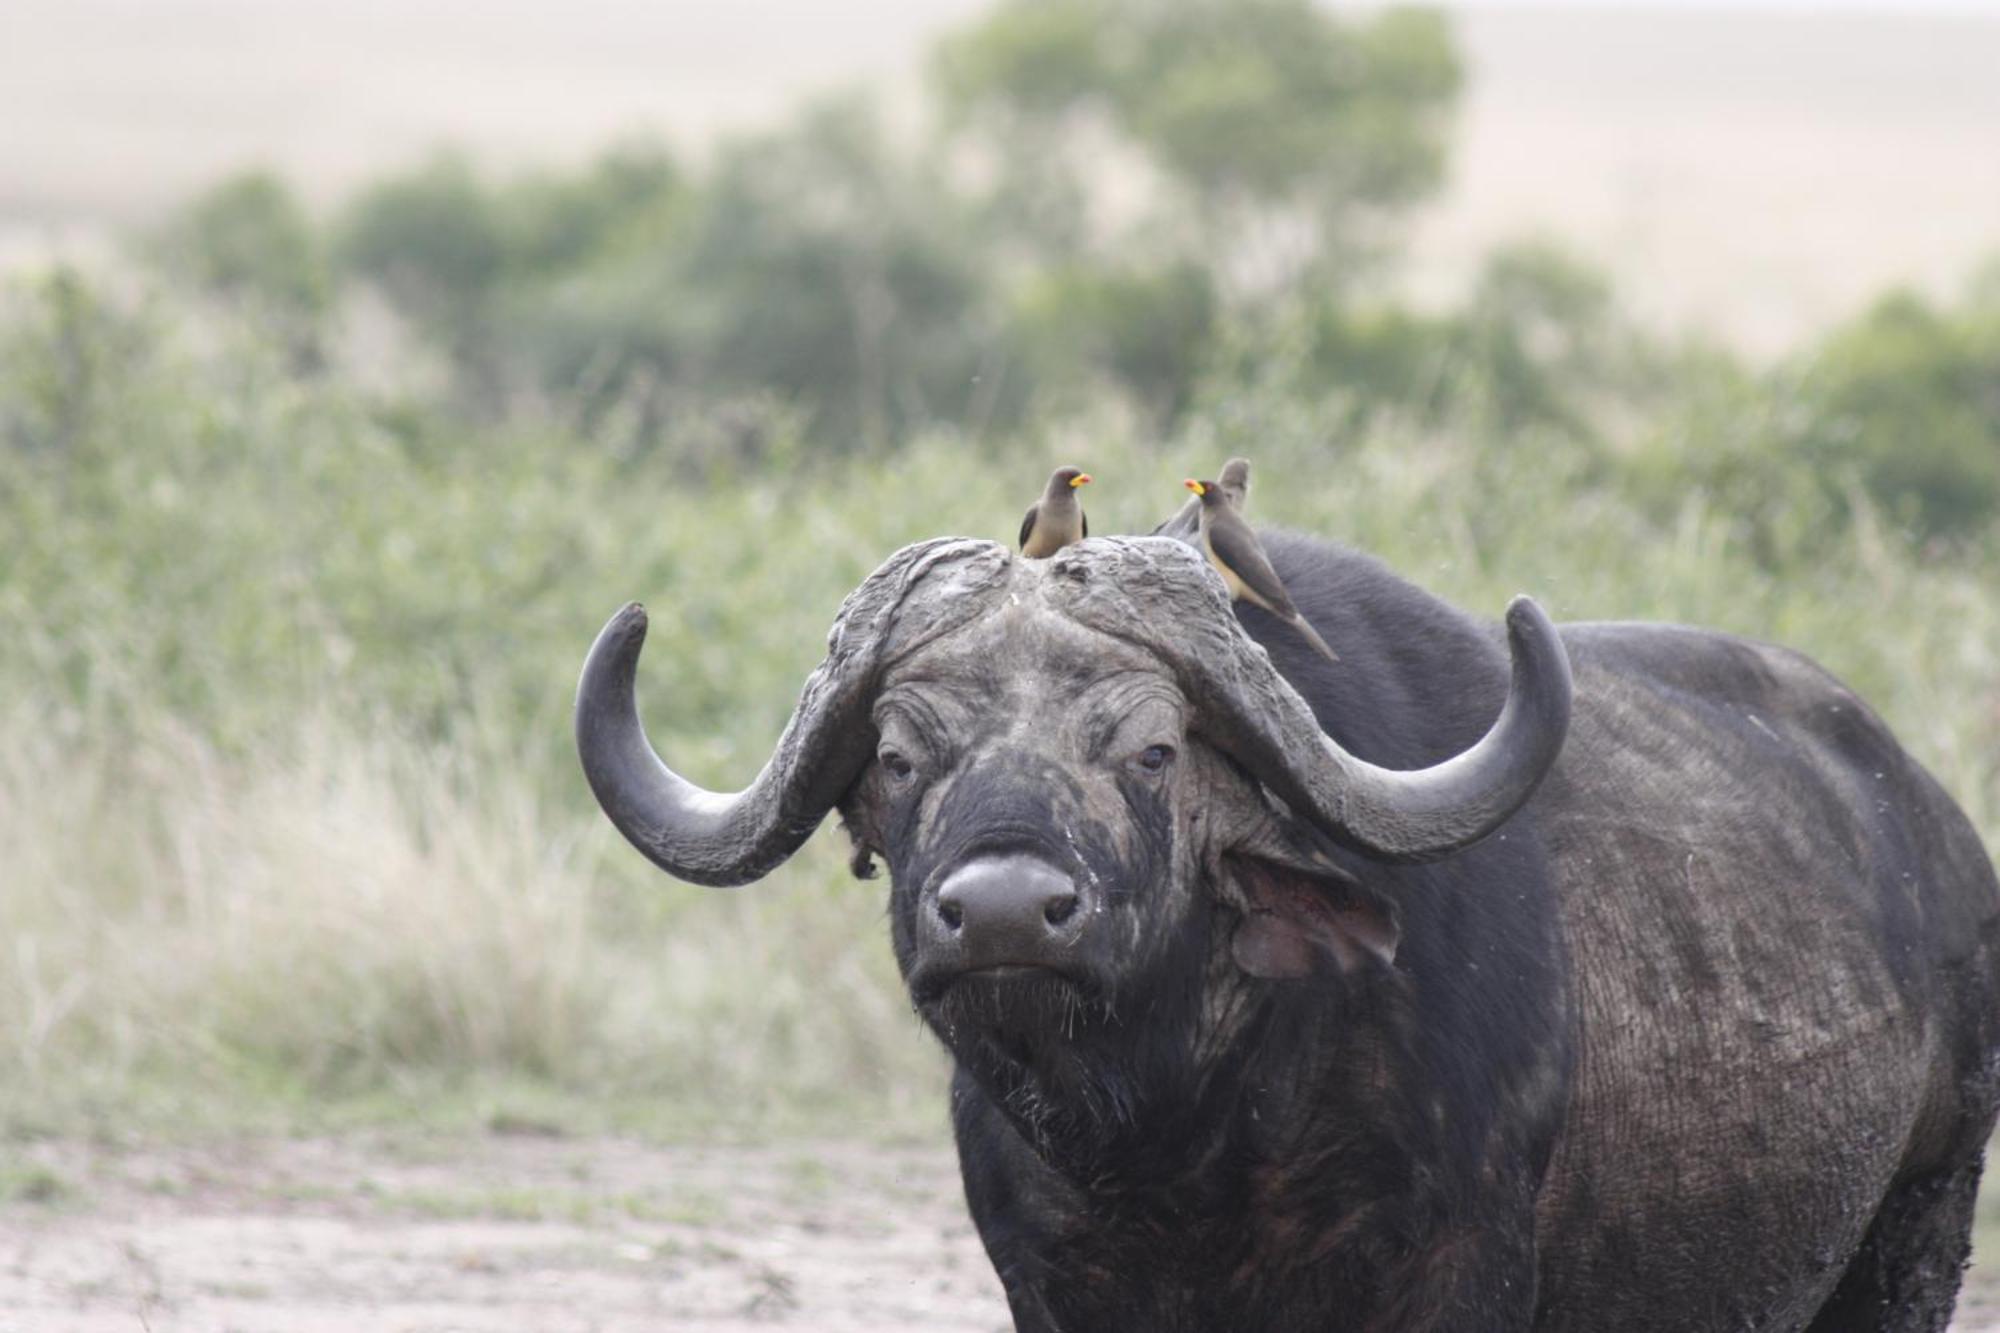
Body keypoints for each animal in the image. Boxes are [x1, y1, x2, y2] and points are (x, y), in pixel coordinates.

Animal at [572, 532, 2000, 1328]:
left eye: (1153, 750)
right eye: (896, 759)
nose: (1003, 912)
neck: (1188, 1135)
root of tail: (1934, 829)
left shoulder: (1460, 1276)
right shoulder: (1051, 1285)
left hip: (1916, 1232)